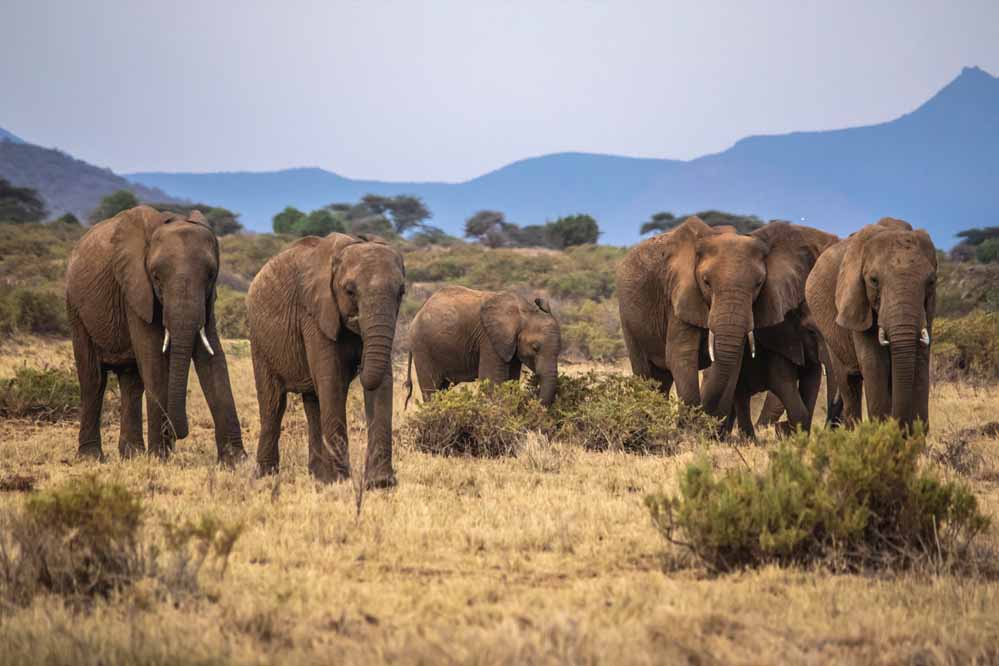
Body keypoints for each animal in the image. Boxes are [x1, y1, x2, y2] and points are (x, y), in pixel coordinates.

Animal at [65, 205, 246, 464]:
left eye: (211, 275)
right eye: (156, 277)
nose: (176, 434)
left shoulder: (208, 299)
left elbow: (212, 357)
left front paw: (237, 462)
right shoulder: (135, 288)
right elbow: (154, 359)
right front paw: (160, 457)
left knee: (131, 382)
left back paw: (132, 454)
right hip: (75, 306)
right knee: (93, 379)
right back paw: (91, 457)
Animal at [247, 232, 405, 487]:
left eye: (401, 292)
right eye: (350, 291)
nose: (359, 367)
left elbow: (381, 380)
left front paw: (380, 483)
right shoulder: (314, 315)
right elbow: (331, 380)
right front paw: (342, 480)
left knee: (313, 403)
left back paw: (319, 477)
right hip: (259, 340)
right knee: (273, 403)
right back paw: (265, 476)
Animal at [403, 286, 561, 407]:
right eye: (535, 347)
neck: (524, 311)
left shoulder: (510, 345)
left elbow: (511, 379)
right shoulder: (489, 339)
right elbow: (492, 380)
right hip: (422, 348)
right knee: (432, 389)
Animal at [616, 216, 837, 428]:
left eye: (758, 284)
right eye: (706, 282)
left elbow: (732, 362)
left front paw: (708, 429)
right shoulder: (679, 295)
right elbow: (682, 355)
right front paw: (689, 430)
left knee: (661, 379)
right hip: (628, 316)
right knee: (645, 371)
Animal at [804, 217, 937, 429]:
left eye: (931, 282)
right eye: (874, 280)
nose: (899, 427)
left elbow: (921, 359)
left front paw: (917, 435)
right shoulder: (856, 302)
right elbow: (874, 363)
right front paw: (882, 431)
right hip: (829, 334)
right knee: (849, 384)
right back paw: (852, 431)